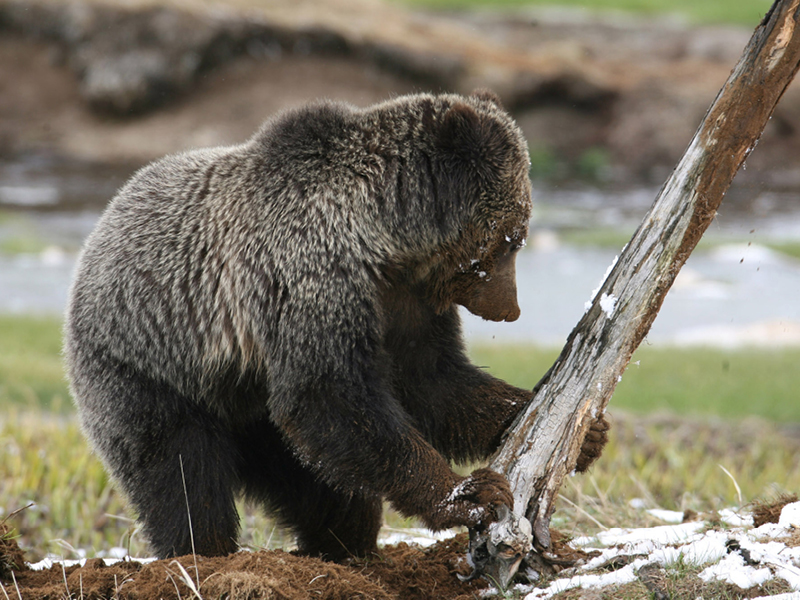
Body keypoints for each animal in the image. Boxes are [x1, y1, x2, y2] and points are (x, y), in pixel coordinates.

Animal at [67, 90, 608, 564]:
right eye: (511, 240)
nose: (510, 309)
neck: (384, 237)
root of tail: (97, 236)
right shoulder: (313, 275)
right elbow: (331, 394)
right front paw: (469, 493)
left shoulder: (403, 302)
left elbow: (430, 381)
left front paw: (582, 431)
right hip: (150, 371)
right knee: (182, 478)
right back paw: (202, 556)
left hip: (259, 419)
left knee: (326, 491)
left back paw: (341, 552)